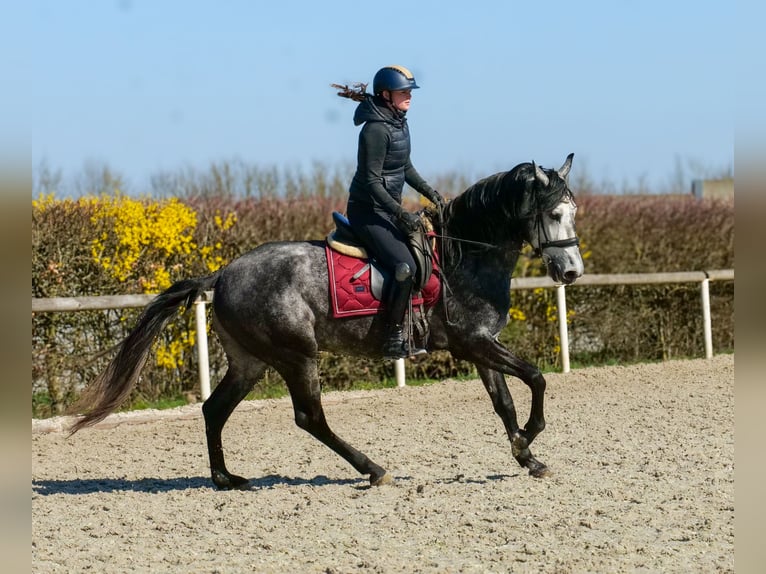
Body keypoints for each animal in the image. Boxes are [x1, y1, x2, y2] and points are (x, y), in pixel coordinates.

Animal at [68, 153, 584, 489]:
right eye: (554, 213)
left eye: (574, 212)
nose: (571, 272)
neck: (465, 255)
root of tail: (224, 273)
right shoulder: (473, 343)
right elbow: (536, 378)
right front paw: (529, 439)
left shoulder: (479, 344)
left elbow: (505, 403)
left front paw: (527, 455)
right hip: (297, 355)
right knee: (309, 417)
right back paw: (372, 470)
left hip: (250, 361)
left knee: (215, 410)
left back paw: (225, 478)